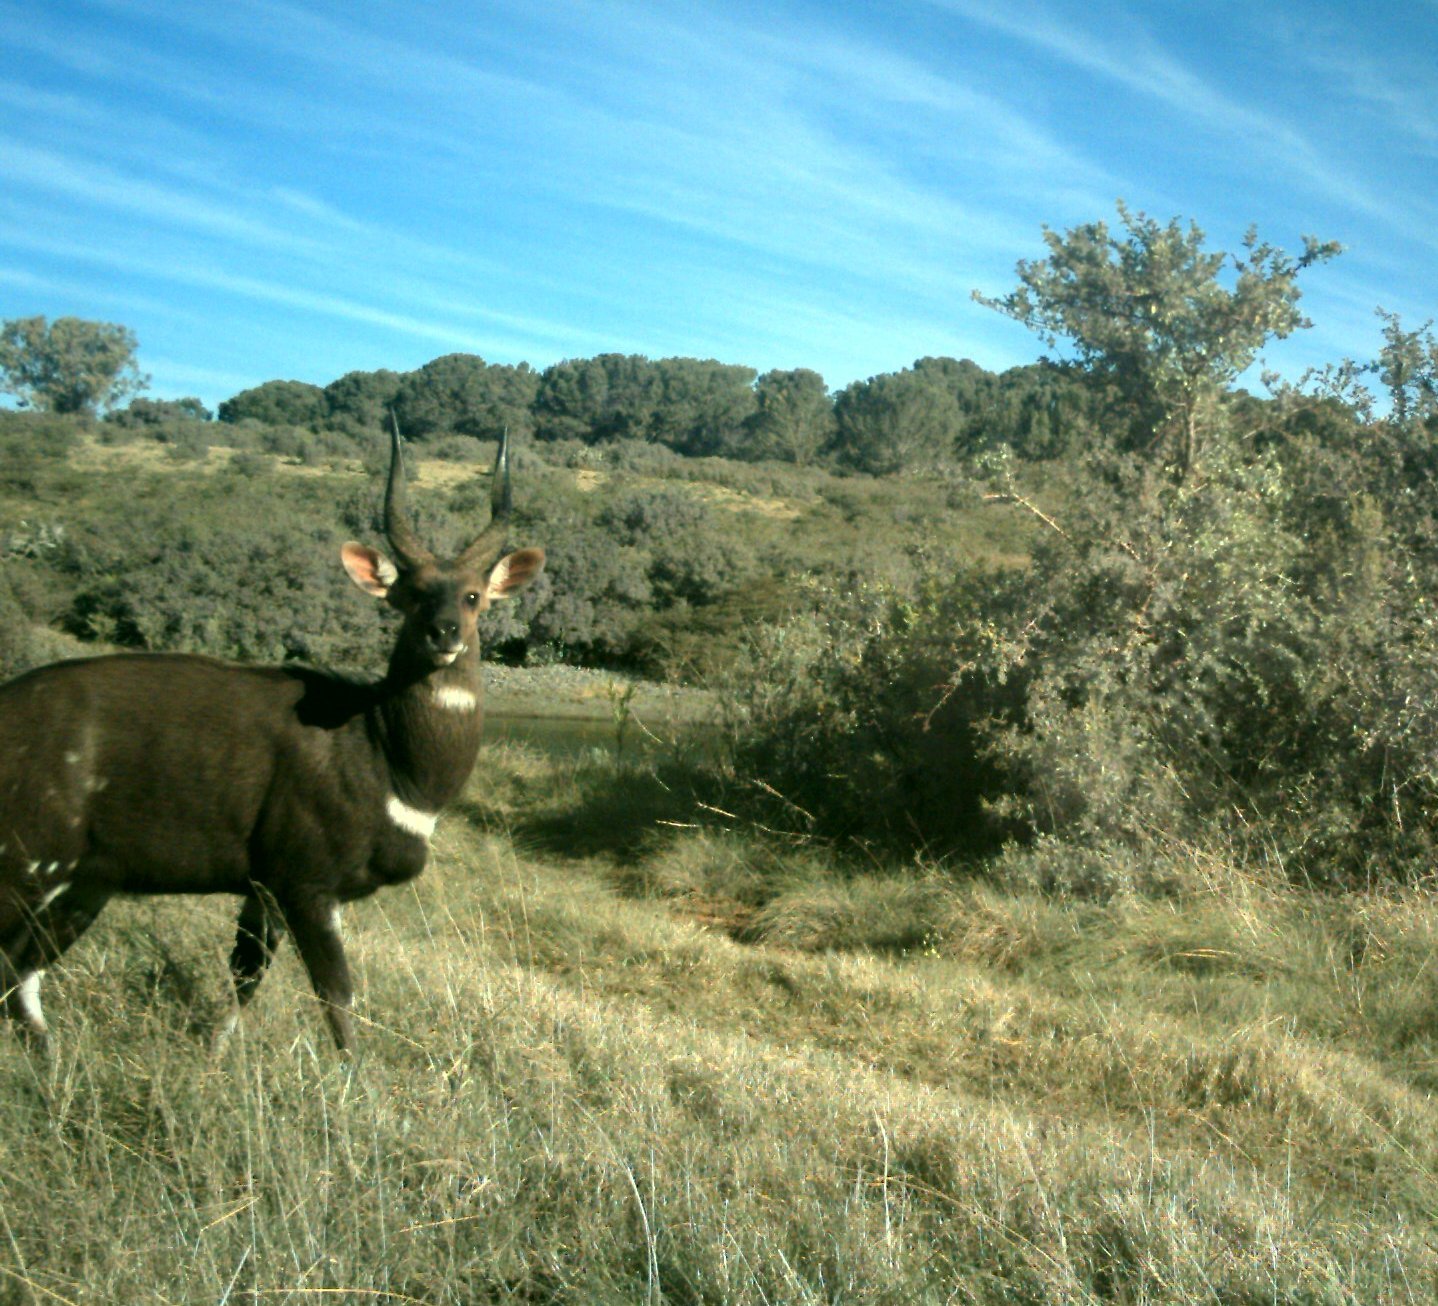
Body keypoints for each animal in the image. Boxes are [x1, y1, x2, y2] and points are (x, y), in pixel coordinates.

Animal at [0, 425, 540, 1052]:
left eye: (473, 595)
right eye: (411, 594)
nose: (444, 632)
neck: (384, 759)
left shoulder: (265, 891)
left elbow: (246, 974)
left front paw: (216, 1053)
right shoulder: (304, 880)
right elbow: (336, 994)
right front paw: (351, 1076)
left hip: (87, 878)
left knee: (21, 969)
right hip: (29, 859)